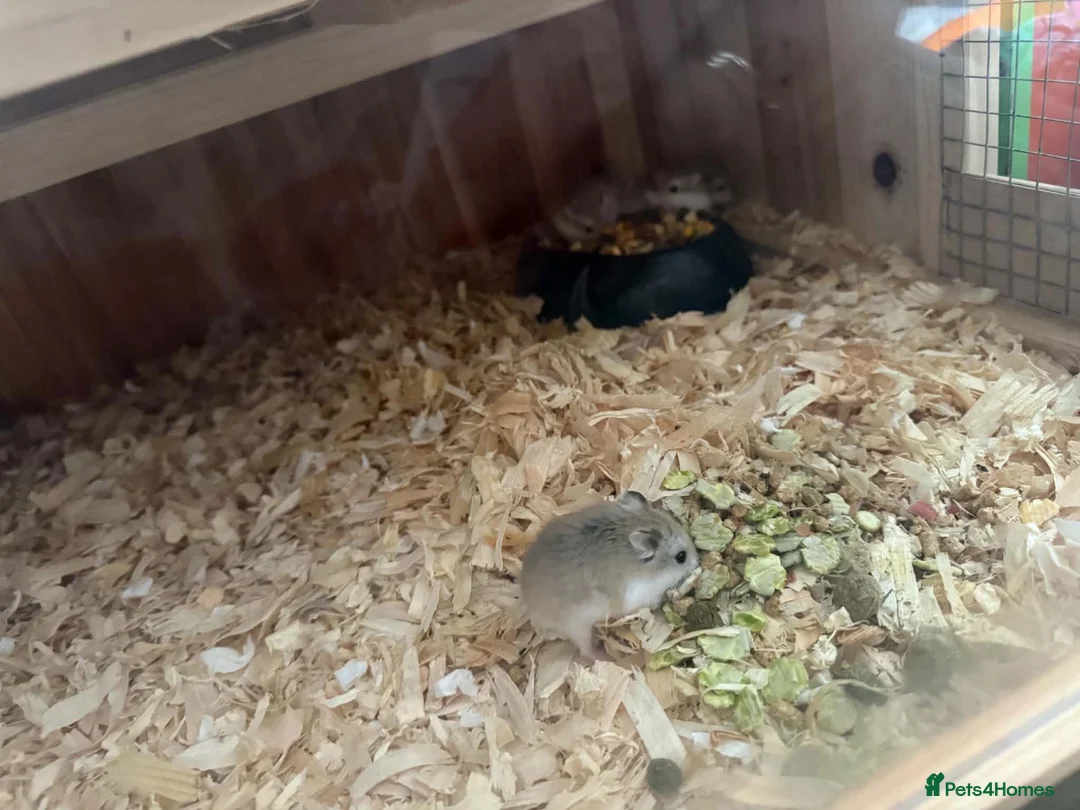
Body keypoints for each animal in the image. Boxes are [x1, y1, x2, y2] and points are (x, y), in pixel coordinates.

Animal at [520, 490, 699, 661]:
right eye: (681, 557)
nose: (697, 562)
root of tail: (531, 609)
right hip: (577, 625)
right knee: (585, 651)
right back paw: (607, 657)